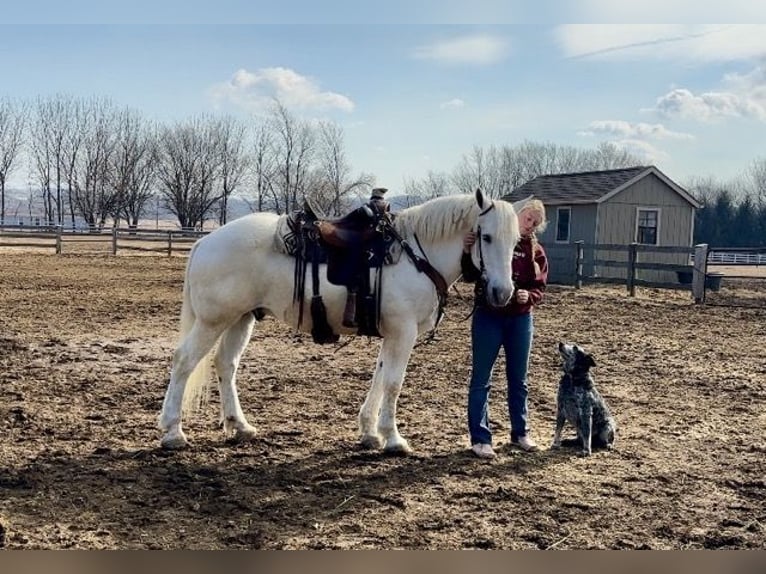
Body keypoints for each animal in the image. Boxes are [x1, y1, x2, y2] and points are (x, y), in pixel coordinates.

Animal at [160, 189, 524, 454]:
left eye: (517, 241)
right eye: (487, 237)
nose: (503, 292)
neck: (416, 255)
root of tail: (205, 241)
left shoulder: (391, 335)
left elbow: (379, 378)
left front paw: (370, 433)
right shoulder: (403, 332)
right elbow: (394, 383)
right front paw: (394, 439)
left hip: (240, 318)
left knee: (225, 364)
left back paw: (239, 425)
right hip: (213, 321)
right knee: (184, 361)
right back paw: (172, 431)